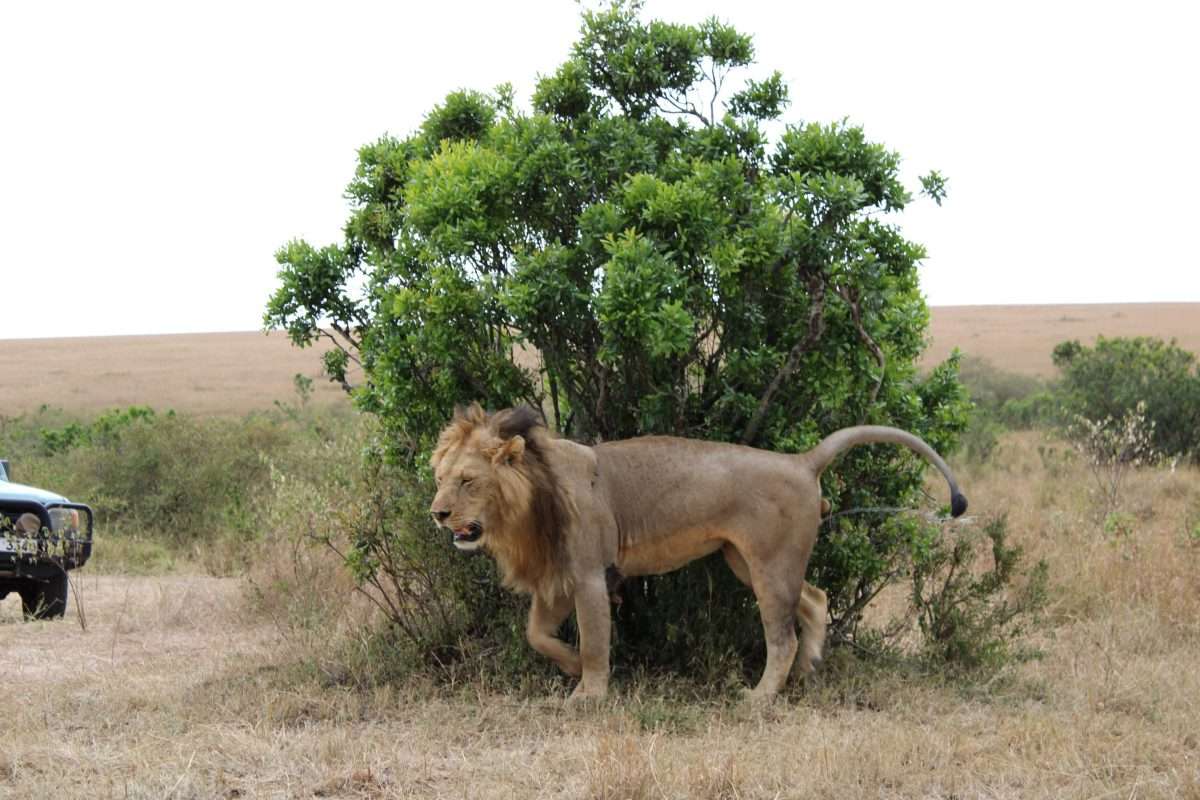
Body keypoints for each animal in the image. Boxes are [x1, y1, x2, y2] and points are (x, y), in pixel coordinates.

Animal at [430, 403, 967, 702]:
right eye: (440, 478)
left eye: (468, 480)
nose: (436, 513)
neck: (529, 502)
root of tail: (801, 460)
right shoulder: (557, 577)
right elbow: (536, 635)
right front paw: (572, 667)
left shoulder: (588, 573)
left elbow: (596, 640)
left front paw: (589, 693)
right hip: (743, 560)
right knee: (815, 600)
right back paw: (808, 669)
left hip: (769, 567)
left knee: (782, 636)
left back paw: (761, 696)